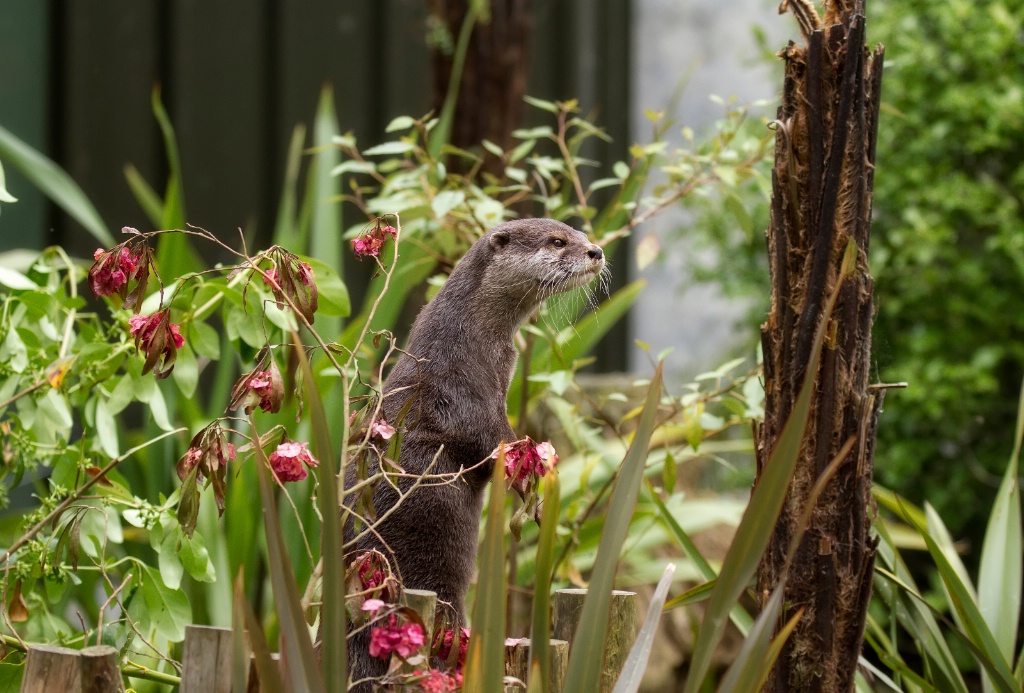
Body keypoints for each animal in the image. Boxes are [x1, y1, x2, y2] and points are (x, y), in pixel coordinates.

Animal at [339, 218, 602, 687]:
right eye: (558, 241)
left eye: (580, 233)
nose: (597, 252)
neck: (470, 335)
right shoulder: (461, 390)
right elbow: (490, 441)